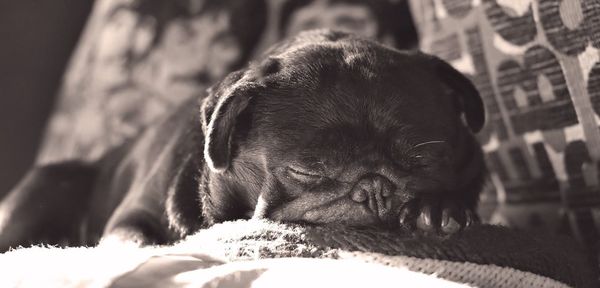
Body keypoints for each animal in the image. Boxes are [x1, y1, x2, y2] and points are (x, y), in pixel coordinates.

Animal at [0, 29, 486, 250]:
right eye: (307, 171)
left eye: (425, 162)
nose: (375, 188)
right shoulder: (131, 219)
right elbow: (132, 242)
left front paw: (437, 210)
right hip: (43, 187)